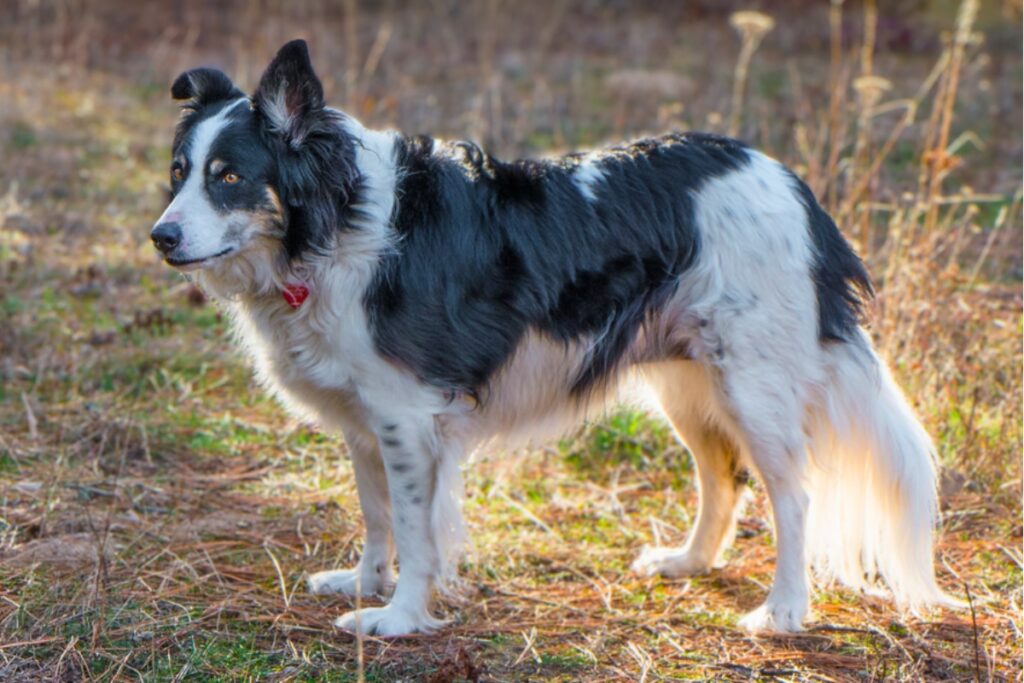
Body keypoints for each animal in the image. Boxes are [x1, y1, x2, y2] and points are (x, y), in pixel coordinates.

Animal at [151, 38, 950, 634]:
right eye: (179, 172)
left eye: (229, 177)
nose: (161, 237)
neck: (333, 224)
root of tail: (789, 182)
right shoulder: (363, 422)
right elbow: (377, 516)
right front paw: (364, 582)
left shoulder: (406, 417)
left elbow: (414, 528)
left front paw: (399, 617)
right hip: (690, 385)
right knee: (722, 478)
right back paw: (688, 563)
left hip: (753, 387)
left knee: (792, 497)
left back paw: (782, 612)